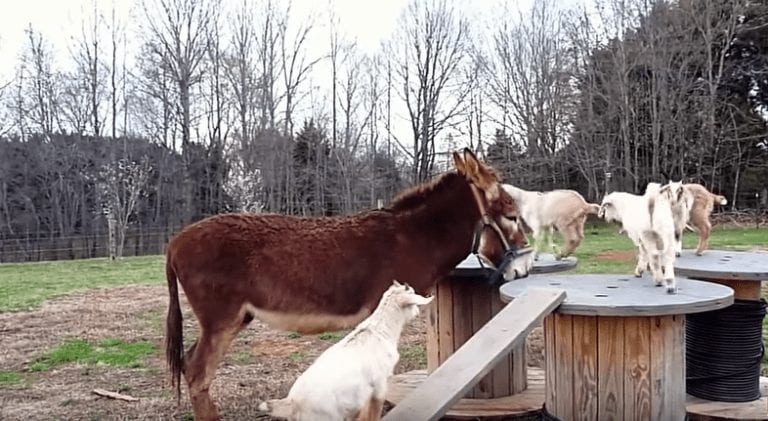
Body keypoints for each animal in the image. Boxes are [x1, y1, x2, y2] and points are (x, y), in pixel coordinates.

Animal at [258, 281, 433, 421]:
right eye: (413, 300)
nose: (418, 313)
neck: (379, 332)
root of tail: (292, 402)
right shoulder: (380, 383)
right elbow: (374, 412)